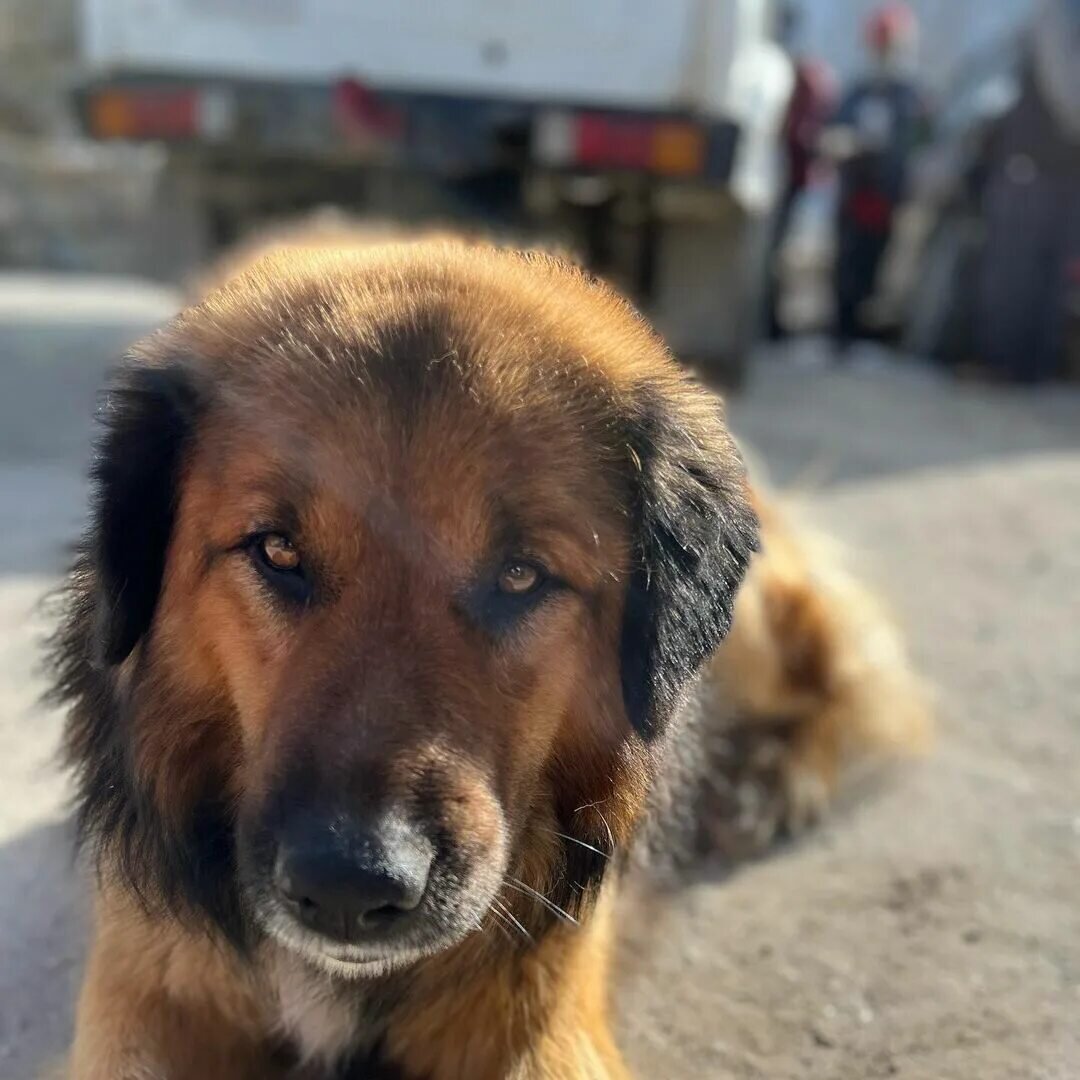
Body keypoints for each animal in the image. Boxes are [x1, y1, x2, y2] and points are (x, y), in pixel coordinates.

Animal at [49, 236, 929, 1079]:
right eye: (277, 551)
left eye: (519, 575)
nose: (349, 884)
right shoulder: (145, 990)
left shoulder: (544, 1020)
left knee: (835, 670)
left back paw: (774, 783)